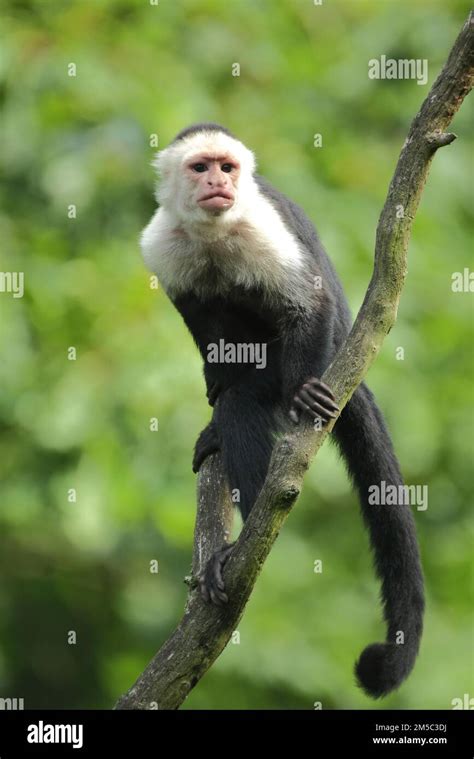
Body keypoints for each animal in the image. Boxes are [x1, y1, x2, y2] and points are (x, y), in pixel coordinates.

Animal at [139, 121, 424, 696]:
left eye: (227, 167)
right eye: (200, 167)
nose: (219, 183)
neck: (215, 234)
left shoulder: (260, 226)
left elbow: (307, 304)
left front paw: (298, 396)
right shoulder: (162, 242)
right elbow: (197, 316)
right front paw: (215, 384)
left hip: (328, 351)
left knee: (258, 392)